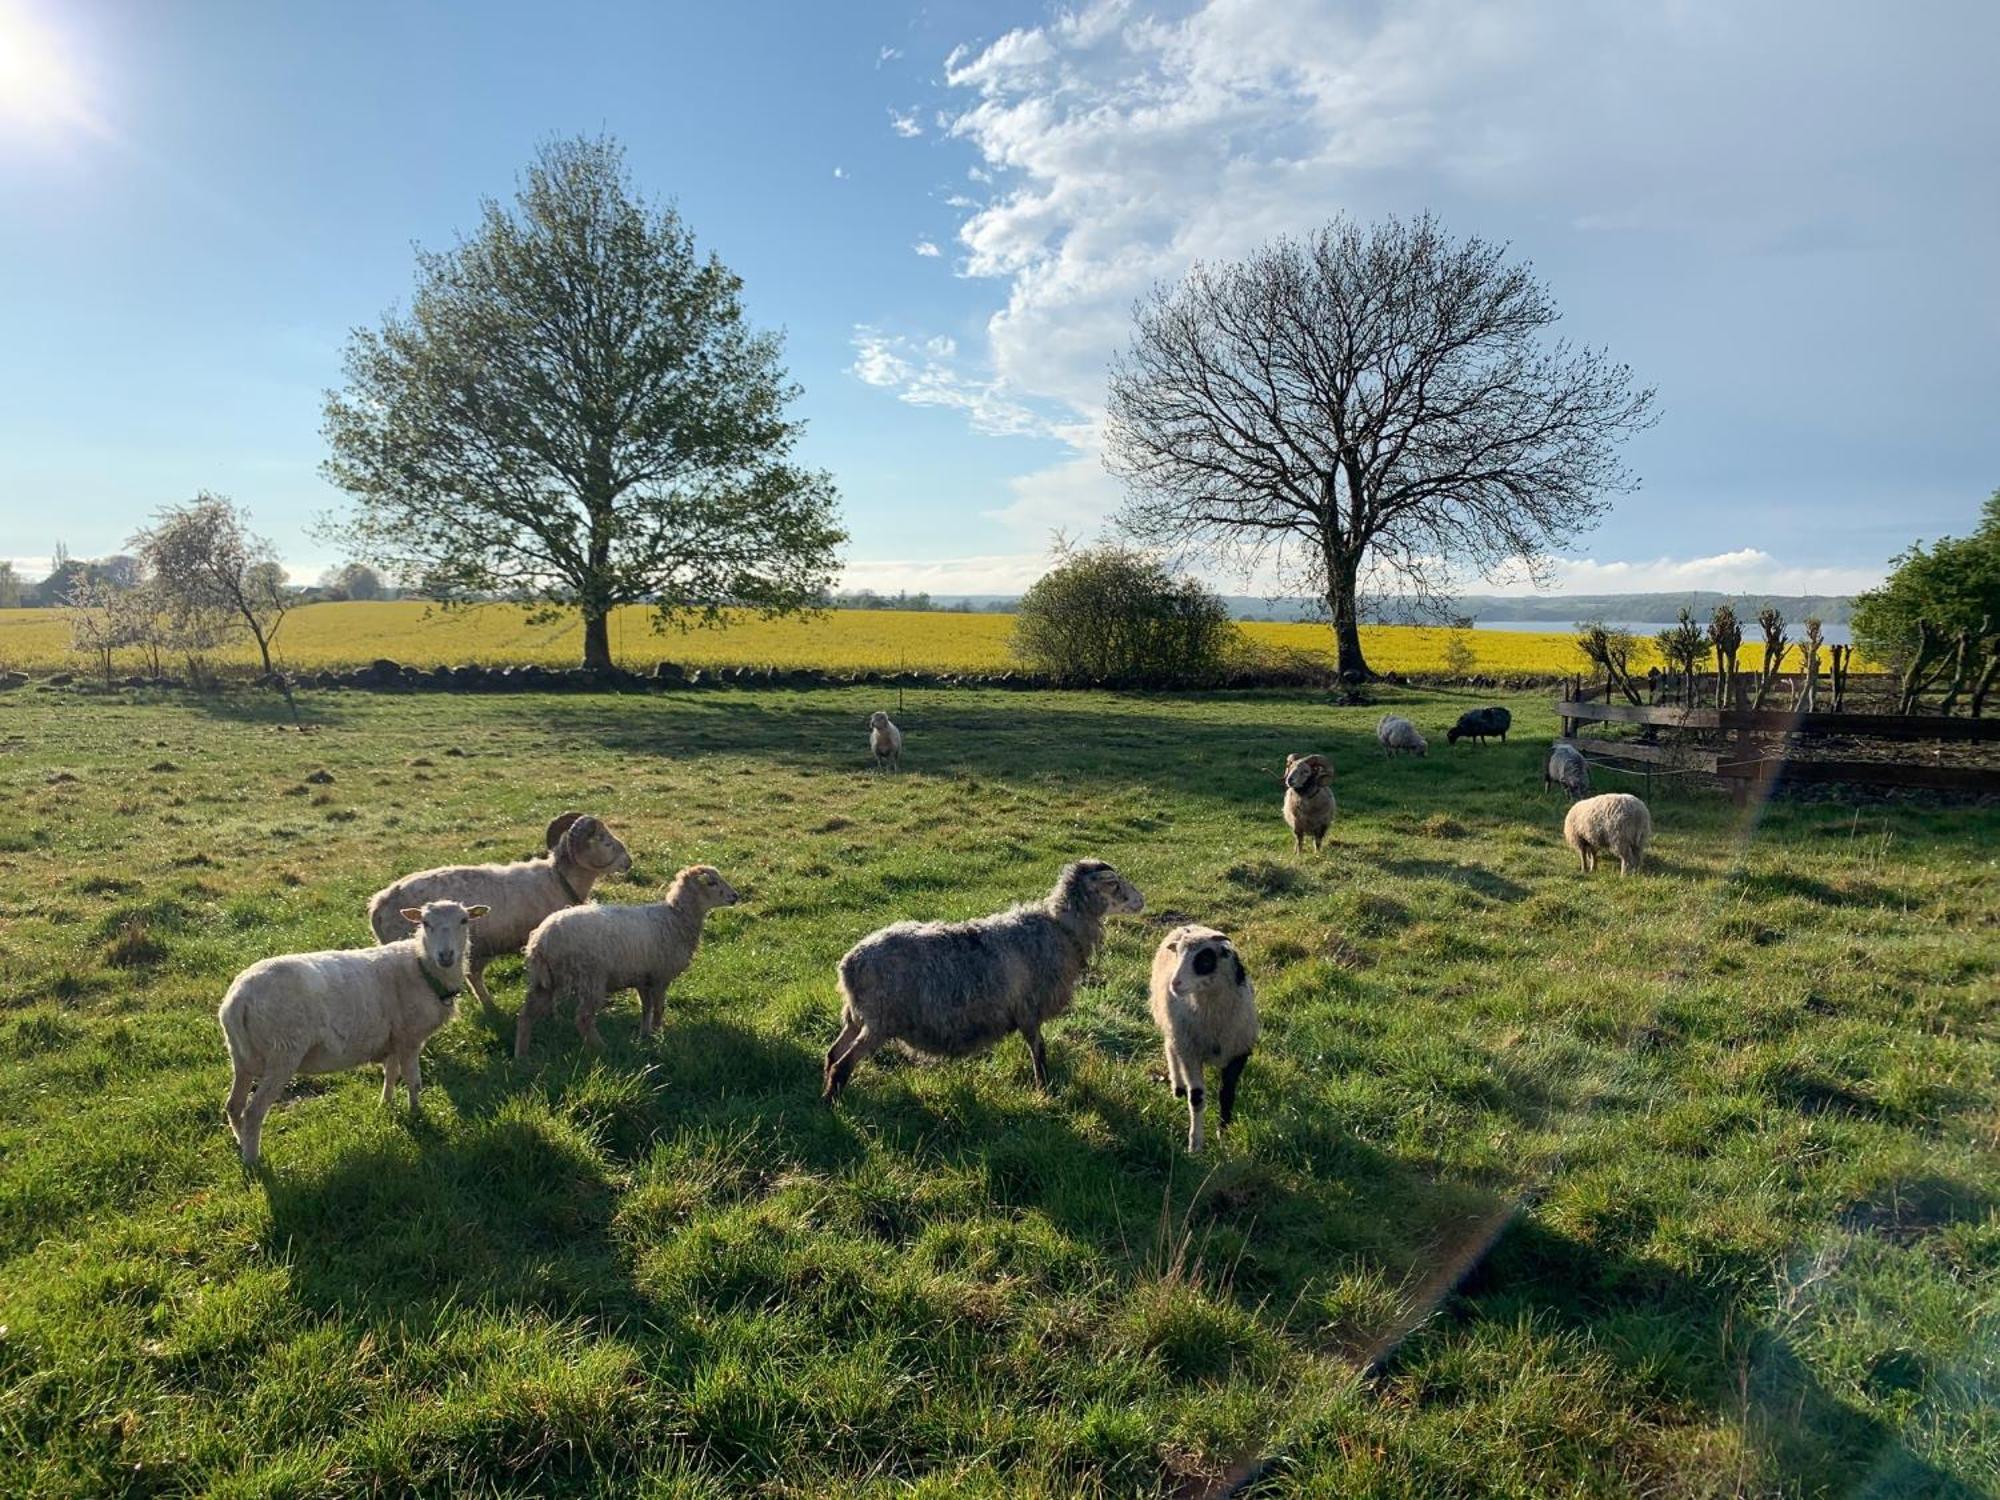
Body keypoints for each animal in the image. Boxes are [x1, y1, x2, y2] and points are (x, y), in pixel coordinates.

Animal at [217, 900, 486, 1168]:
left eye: (464, 921)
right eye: (425, 923)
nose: (446, 956)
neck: (421, 965)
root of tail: (238, 999)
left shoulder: (394, 1037)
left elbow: (391, 1073)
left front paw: (386, 1104)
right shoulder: (410, 1038)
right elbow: (414, 1081)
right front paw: (416, 1113)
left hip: (241, 1056)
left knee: (234, 1105)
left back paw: (241, 1143)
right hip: (282, 1052)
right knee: (253, 1111)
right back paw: (254, 1162)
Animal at [516, 864, 744, 1064]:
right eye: (711, 883)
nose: (735, 896)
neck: (676, 918)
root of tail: (541, 940)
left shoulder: (643, 978)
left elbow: (646, 1008)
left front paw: (645, 1035)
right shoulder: (660, 976)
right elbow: (659, 1008)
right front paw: (659, 1035)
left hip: (544, 980)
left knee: (526, 1014)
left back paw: (522, 1056)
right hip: (590, 977)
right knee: (583, 1018)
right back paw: (601, 1048)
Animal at [824, 856, 1152, 1104]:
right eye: (1114, 883)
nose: (1142, 900)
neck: (1061, 929)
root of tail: (849, 965)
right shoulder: (1028, 1009)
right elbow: (1039, 1050)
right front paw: (1044, 1090)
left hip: (856, 1018)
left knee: (832, 1054)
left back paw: (826, 1095)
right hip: (880, 1022)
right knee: (842, 1064)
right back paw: (833, 1105)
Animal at [1152, 924, 1256, 1160]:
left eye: (1205, 959)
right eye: (1179, 953)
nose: (1175, 984)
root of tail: (1187, 925)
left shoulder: (1238, 1054)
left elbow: (1226, 1096)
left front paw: (1223, 1137)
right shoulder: (1191, 1053)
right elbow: (1197, 1098)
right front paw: (1195, 1144)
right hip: (1174, 1027)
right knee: (1170, 1048)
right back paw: (1178, 1086)